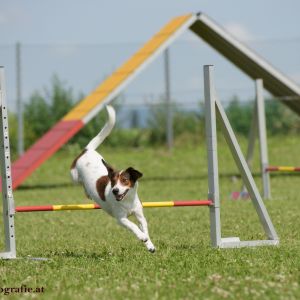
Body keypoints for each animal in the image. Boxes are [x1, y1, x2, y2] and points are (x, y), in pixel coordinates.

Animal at [69, 105, 156, 253]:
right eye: (113, 182)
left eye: (125, 180)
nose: (115, 190)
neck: (127, 201)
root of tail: (87, 150)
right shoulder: (121, 218)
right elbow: (133, 226)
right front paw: (142, 237)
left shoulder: (139, 215)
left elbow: (144, 226)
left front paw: (149, 244)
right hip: (74, 175)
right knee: (79, 182)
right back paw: (87, 191)